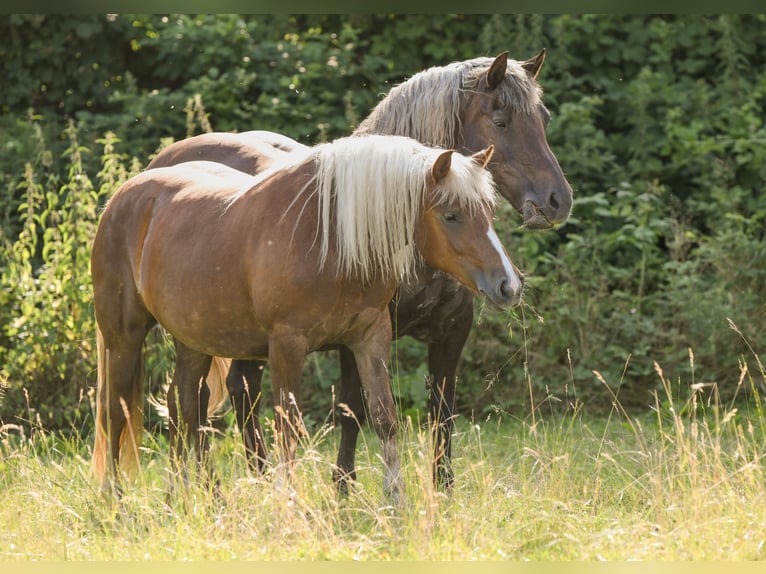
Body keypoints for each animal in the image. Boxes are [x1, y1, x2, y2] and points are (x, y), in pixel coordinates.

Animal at [88, 135, 520, 504]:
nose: (508, 285)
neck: (331, 237)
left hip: (193, 341)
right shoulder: (286, 345)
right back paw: (115, 503)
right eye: (451, 215)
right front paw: (290, 506)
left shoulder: (370, 337)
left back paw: (190, 499)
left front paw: (395, 504)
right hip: (123, 338)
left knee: (185, 408)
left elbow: (384, 419)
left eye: (489, 212)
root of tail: (125, 195)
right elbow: (289, 429)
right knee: (115, 414)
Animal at [147, 50, 572, 490]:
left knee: (240, 388)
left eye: (544, 118)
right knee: (198, 400)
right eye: (501, 121)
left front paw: (442, 489)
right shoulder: (354, 335)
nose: (558, 200)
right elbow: (354, 409)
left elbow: (442, 413)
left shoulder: (450, 332)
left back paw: (258, 476)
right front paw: (343, 489)